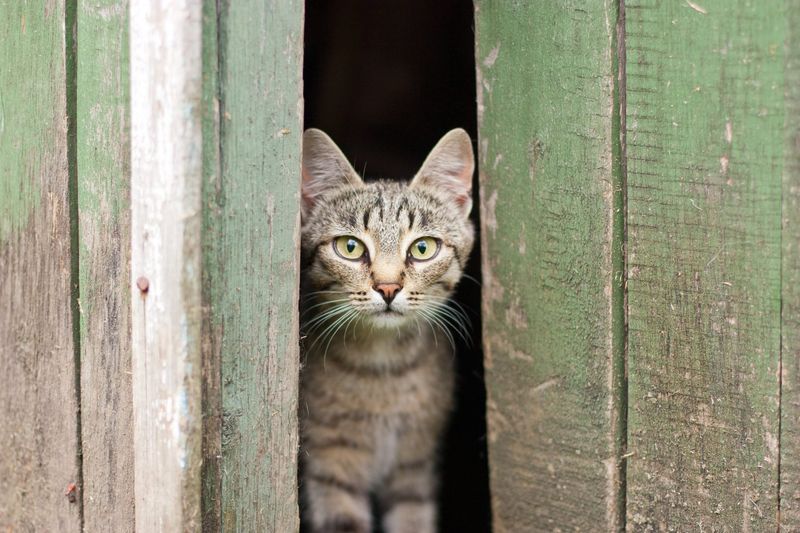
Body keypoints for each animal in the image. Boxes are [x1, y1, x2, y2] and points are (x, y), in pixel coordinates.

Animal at [300, 125, 476, 532]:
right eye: (349, 247)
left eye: (423, 248)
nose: (388, 287)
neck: (384, 367)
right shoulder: (328, 466)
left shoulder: (414, 463)